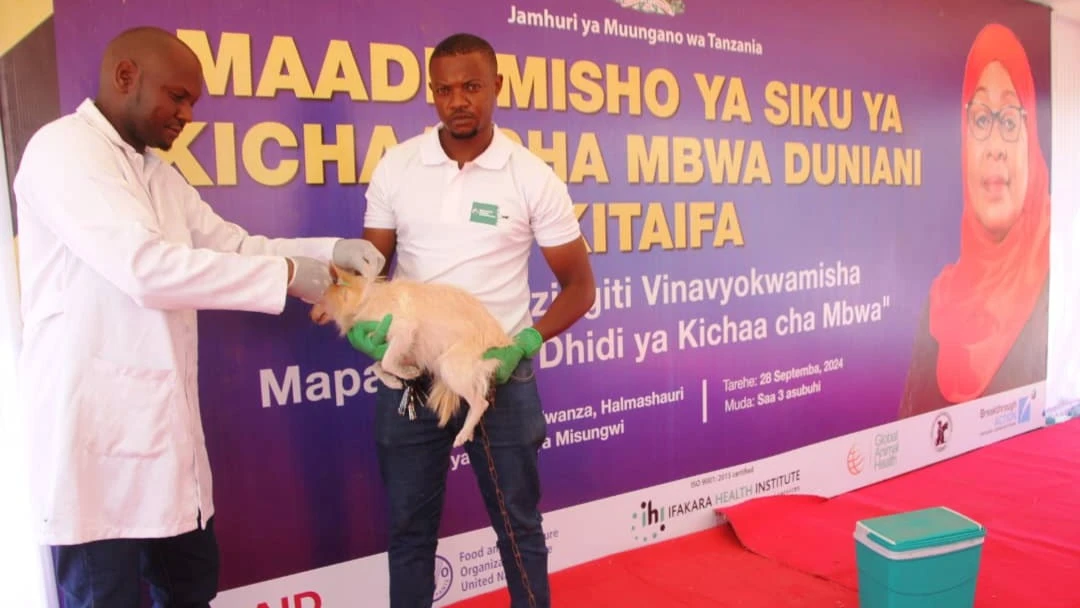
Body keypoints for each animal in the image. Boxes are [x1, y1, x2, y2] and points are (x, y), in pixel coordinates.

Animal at [313, 266, 514, 447]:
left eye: (321, 299)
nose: (310, 313)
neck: (365, 298)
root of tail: (502, 342)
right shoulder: (398, 347)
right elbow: (377, 364)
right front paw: (394, 379)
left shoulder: (404, 330)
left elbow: (386, 361)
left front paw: (405, 374)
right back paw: (469, 430)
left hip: (449, 367)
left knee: (481, 403)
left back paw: (463, 433)